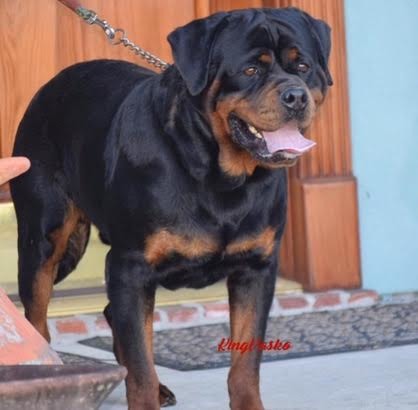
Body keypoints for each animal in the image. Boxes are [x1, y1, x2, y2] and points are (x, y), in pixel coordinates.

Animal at [11, 7, 332, 410]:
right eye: (250, 70)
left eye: (303, 66)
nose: (295, 96)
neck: (219, 175)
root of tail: (49, 87)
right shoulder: (130, 266)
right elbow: (140, 367)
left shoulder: (256, 269)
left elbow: (245, 363)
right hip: (44, 239)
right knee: (39, 319)